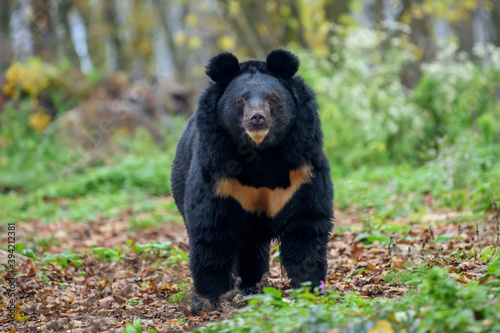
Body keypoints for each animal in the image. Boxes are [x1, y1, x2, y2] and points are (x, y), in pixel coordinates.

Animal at [171, 49, 332, 314]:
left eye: (272, 98)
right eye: (240, 101)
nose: (257, 118)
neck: (260, 152)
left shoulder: (302, 168)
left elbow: (306, 225)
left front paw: (309, 289)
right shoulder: (217, 172)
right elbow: (210, 229)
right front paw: (207, 301)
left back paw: (253, 288)